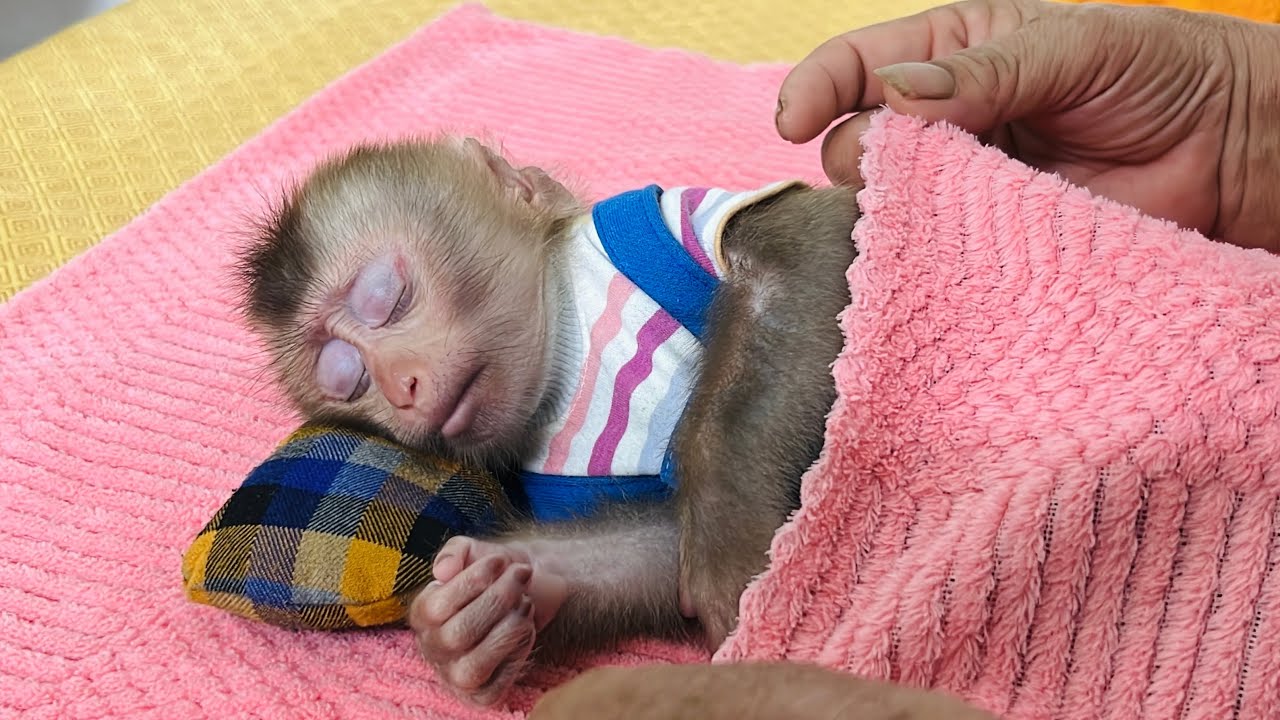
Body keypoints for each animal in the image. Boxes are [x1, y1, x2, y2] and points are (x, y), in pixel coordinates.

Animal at [236, 136, 858, 706]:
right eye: (347, 375)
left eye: (386, 298)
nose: (400, 386)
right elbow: (660, 554)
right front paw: (470, 613)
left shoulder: (673, 218)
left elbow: (803, 256)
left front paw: (740, 562)